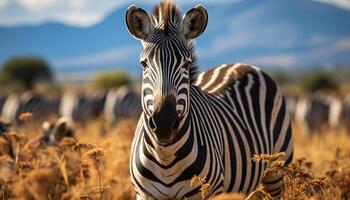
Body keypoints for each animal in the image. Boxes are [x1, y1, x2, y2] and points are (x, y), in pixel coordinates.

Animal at [126, 1, 292, 200]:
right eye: (144, 64)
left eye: (187, 64)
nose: (163, 122)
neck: (165, 156)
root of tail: (243, 65)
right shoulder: (144, 194)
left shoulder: (206, 192)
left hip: (277, 169)